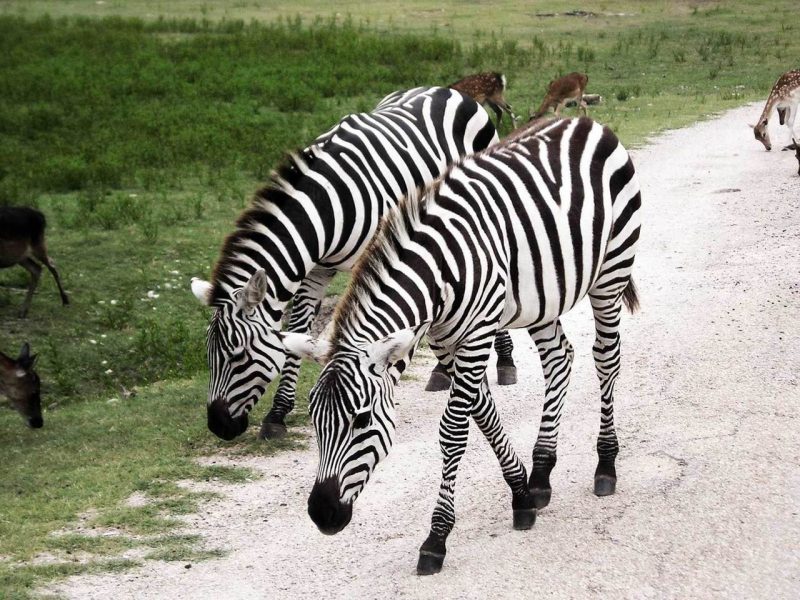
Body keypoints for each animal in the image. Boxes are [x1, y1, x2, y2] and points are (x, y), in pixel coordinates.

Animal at [189, 85, 520, 440]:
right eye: (209, 355)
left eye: (239, 356)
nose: (219, 426)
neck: (323, 206)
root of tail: (446, 90)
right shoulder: (316, 269)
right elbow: (298, 326)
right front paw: (277, 413)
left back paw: (504, 360)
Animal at [282, 116, 644, 572]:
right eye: (314, 420)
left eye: (362, 421)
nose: (323, 515)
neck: (437, 273)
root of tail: (583, 121)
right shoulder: (445, 339)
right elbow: (484, 415)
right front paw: (522, 494)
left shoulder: (476, 334)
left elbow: (454, 431)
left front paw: (436, 538)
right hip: (543, 298)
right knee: (559, 358)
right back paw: (543, 471)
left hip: (611, 271)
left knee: (606, 360)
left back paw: (606, 464)